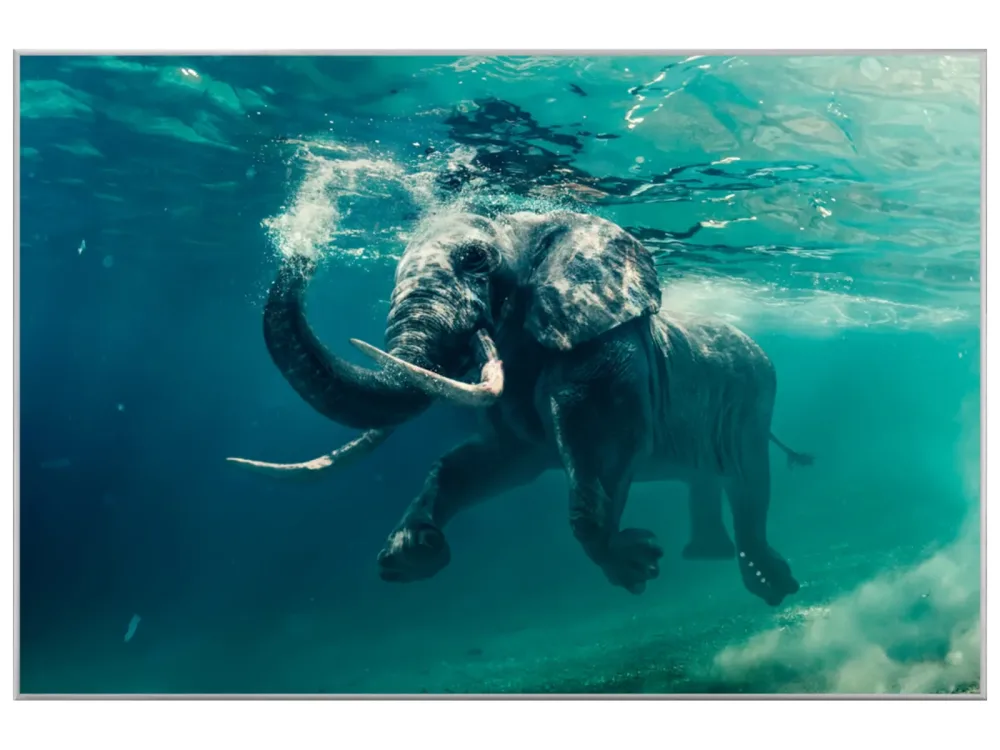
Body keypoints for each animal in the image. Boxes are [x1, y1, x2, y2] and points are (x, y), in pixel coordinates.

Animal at [228, 209, 814, 606]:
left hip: (755, 399)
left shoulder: (606, 350)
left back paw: (771, 586)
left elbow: (599, 448)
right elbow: (482, 462)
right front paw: (410, 556)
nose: (302, 248)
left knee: (748, 482)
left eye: (475, 260)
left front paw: (636, 565)